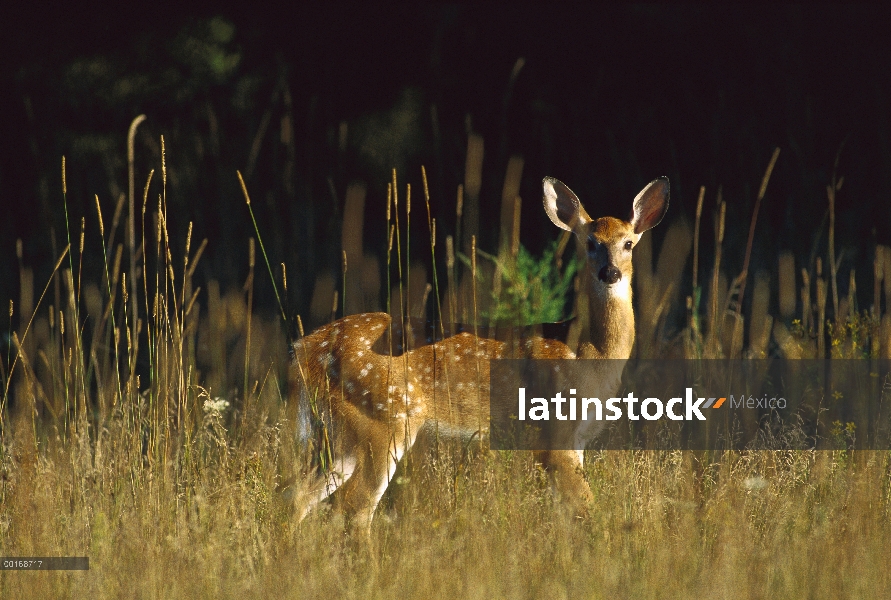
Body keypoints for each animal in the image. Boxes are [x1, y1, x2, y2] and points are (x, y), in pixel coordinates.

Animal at [290, 176, 668, 532]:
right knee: (354, 507)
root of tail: (305, 350)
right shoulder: (552, 431)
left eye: (628, 243)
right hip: (385, 417)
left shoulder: (579, 438)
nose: (610, 273)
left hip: (343, 430)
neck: (589, 353)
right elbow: (585, 510)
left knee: (298, 496)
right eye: (590, 243)